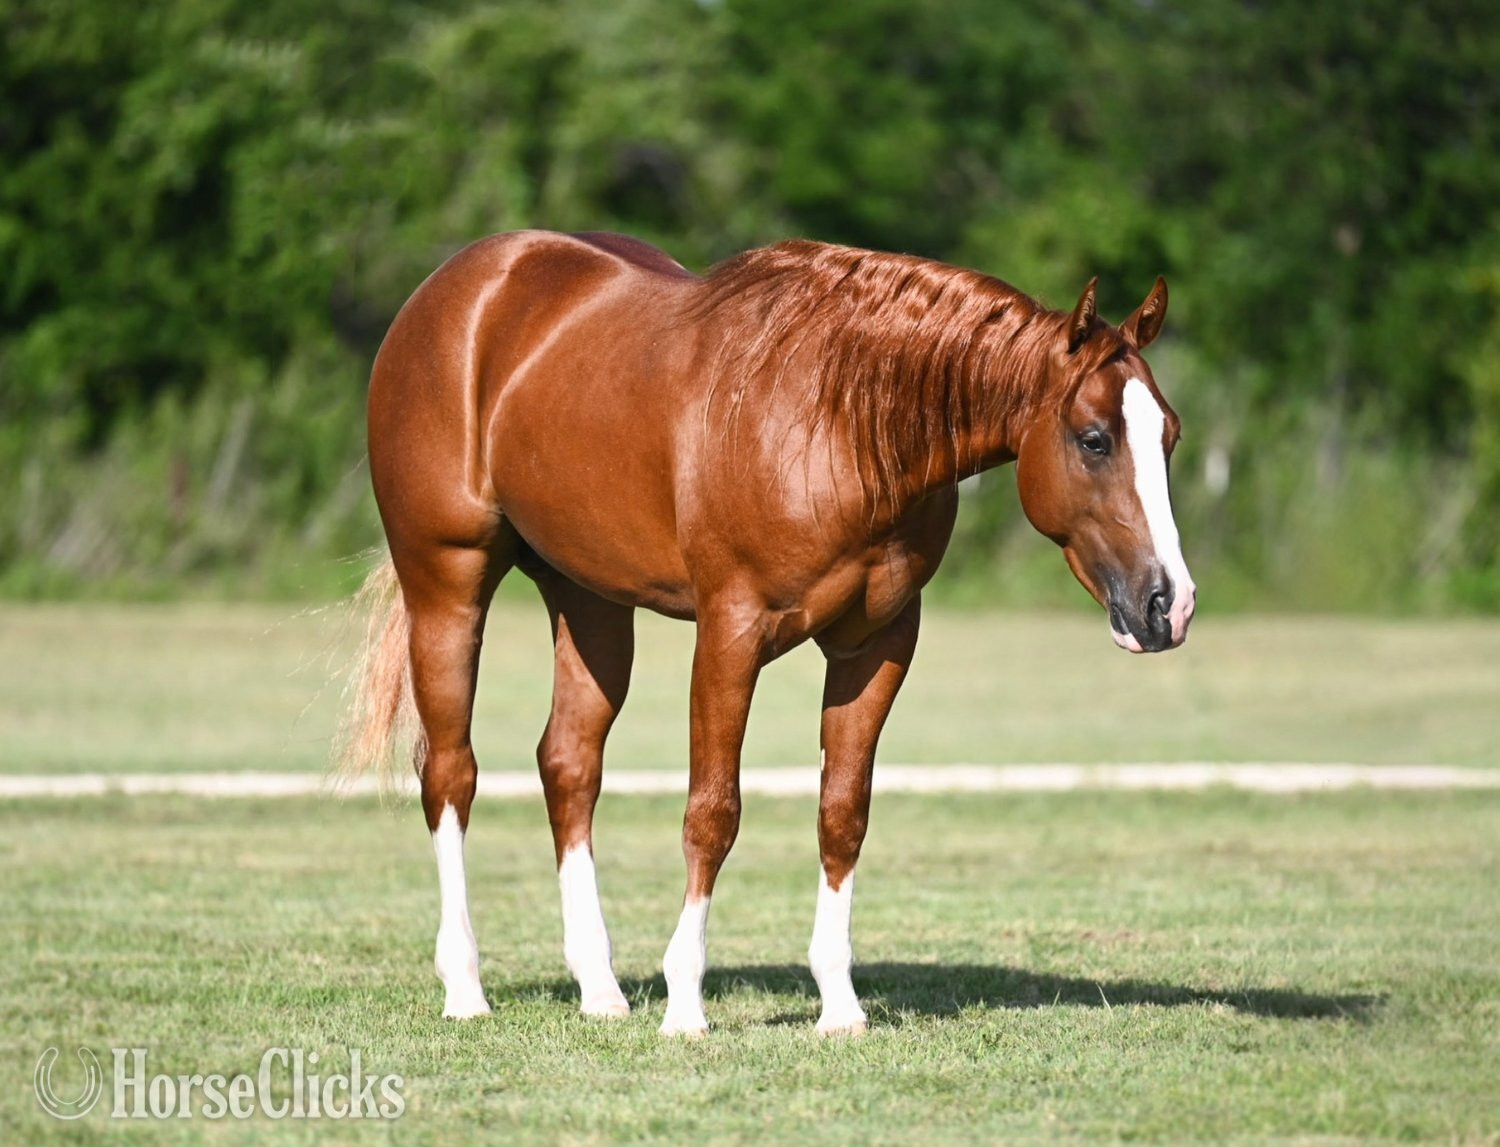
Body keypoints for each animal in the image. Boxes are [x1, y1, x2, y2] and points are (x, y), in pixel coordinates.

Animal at [337, 229, 1195, 1036]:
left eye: (1171, 435)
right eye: (1094, 438)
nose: (1170, 604)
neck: (840, 421)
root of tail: (464, 285)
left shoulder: (878, 643)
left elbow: (842, 813)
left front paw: (839, 1003)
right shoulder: (731, 633)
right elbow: (712, 812)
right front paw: (685, 1002)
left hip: (589, 600)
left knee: (568, 764)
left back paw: (601, 988)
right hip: (448, 583)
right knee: (450, 771)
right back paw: (466, 988)